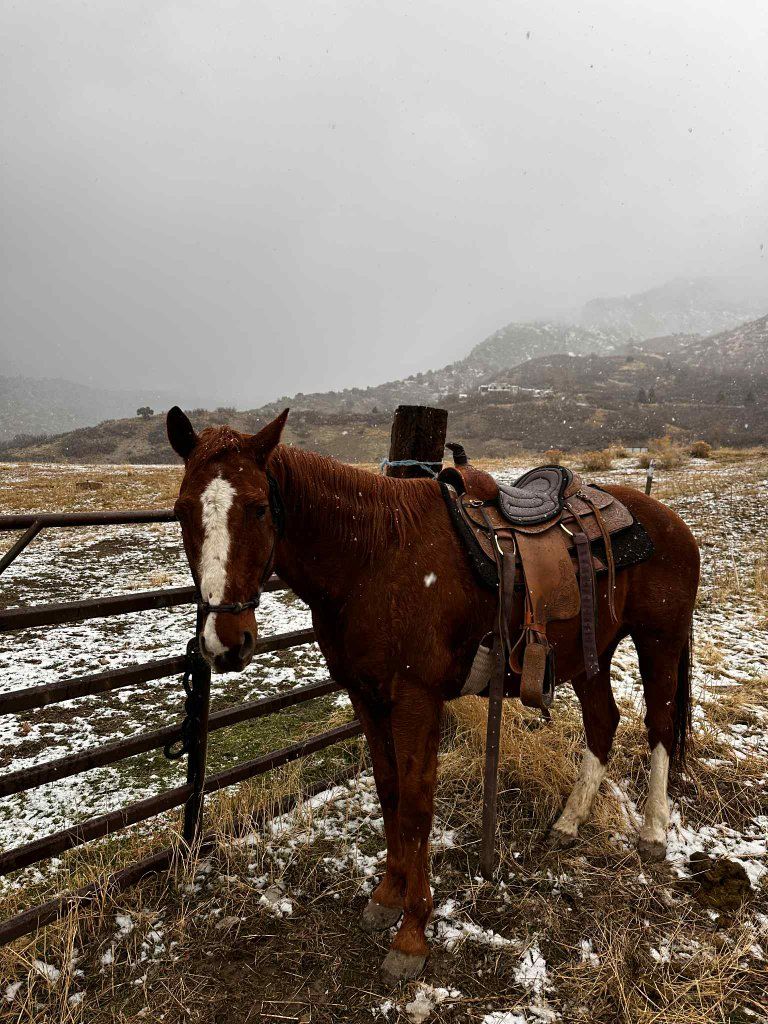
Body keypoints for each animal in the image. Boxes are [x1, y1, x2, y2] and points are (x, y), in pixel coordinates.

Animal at [166, 406, 700, 982]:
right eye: (181, 512)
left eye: (260, 507)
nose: (225, 643)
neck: (374, 556)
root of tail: (671, 521)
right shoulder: (366, 695)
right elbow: (389, 790)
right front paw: (387, 894)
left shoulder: (416, 699)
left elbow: (417, 803)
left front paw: (412, 933)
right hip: (588, 651)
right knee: (603, 721)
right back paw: (569, 821)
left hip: (659, 642)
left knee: (660, 725)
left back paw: (653, 832)